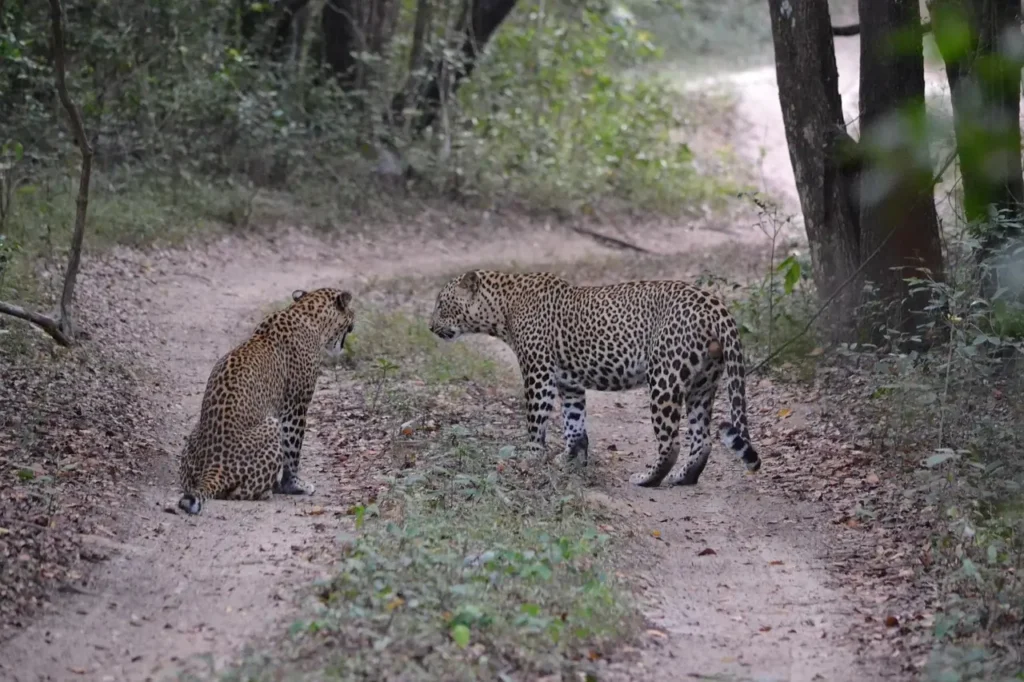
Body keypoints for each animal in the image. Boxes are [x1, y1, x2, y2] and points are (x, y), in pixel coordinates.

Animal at [177, 287, 355, 515]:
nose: (355, 318)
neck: (307, 313)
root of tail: (214, 466)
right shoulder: (295, 406)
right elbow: (293, 450)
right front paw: (294, 485)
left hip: (193, 442)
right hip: (271, 425)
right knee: (238, 493)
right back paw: (267, 491)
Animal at [428, 270, 761, 487]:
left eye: (442, 304)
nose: (430, 327)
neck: (502, 307)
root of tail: (716, 305)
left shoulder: (538, 374)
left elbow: (536, 421)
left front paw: (530, 458)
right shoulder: (570, 383)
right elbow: (575, 425)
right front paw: (570, 460)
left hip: (664, 379)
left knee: (671, 442)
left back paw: (648, 478)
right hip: (703, 384)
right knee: (702, 439)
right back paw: (684, 478)